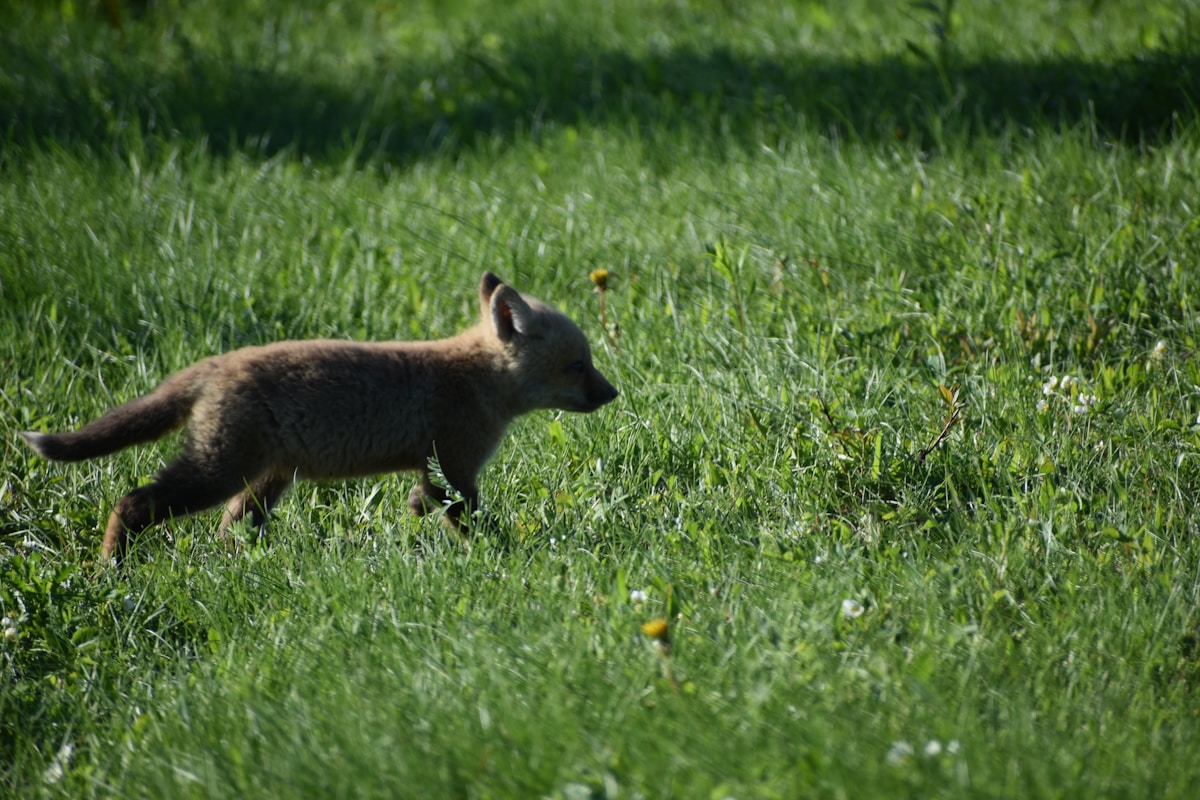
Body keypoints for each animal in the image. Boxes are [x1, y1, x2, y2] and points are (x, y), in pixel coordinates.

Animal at [19, 271, 618, 563]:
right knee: (133, 503)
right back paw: (112, 570)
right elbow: (469, 517)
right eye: (578, 365)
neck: (476, 378)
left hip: (266, 477)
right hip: (219, 470)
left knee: (230, 526)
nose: (613, 393)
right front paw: (507, 552)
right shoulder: (455, 465)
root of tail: (216, 364)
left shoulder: (436, 468)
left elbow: (428, 503)